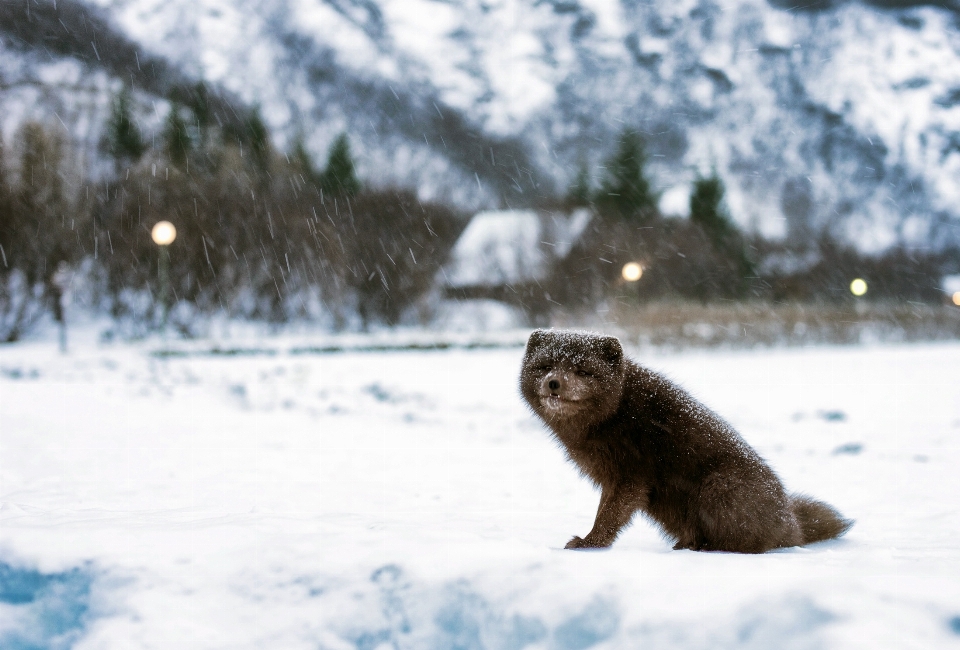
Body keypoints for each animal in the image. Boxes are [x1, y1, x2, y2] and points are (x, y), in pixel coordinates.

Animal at [520, 330, 852, 552]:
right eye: (545, 365)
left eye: (582, 370)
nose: (554, 383)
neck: (617, 412)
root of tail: (792, 522)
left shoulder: (630, 474)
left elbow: (610, 514)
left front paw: (589, 543)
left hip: (719, 486)